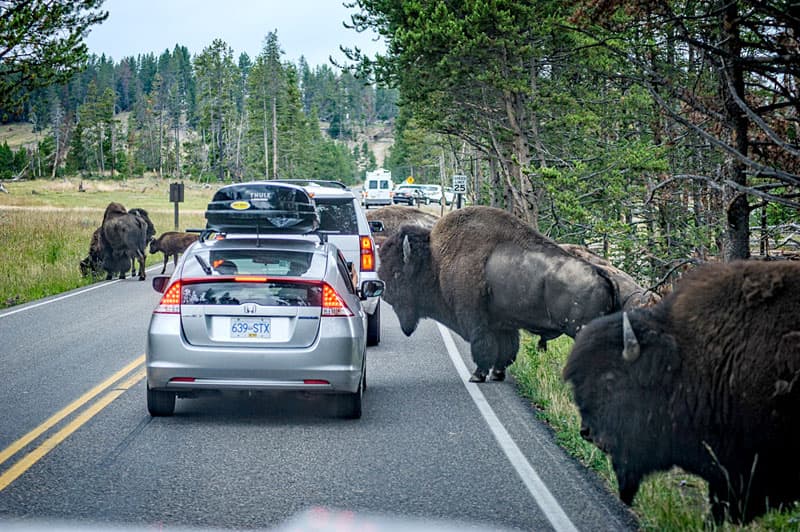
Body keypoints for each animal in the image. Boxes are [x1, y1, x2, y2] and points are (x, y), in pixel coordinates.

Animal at [378, 205, 620, 382]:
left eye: (397, 272)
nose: (385, 293)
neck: (435, 259)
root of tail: (601, 274)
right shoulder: (503, 324)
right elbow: (506, 349)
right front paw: (497, 374)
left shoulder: (474, 318)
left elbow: (483, 346)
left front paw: (477, 375)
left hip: (581, 331)